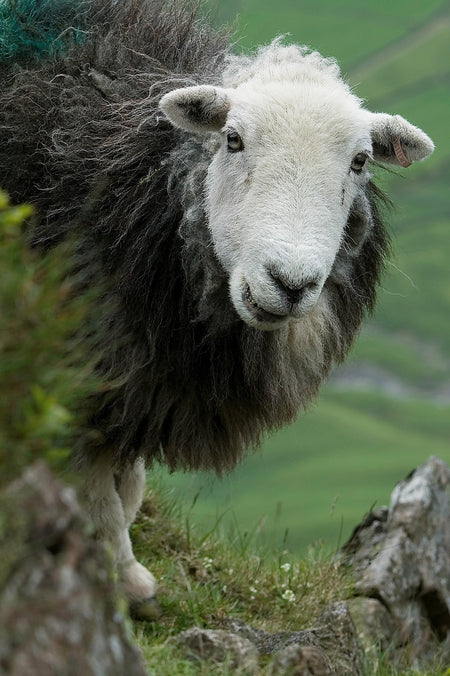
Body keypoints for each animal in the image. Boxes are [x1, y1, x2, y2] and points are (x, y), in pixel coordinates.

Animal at [0, 0, 434, 618]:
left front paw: (124, 575)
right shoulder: (77, 368)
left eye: (359, 161)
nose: (290, 283)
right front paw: (118, 584)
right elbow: (99, 496)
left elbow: (128, 489)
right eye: (232, 139)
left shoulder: (140, 379)